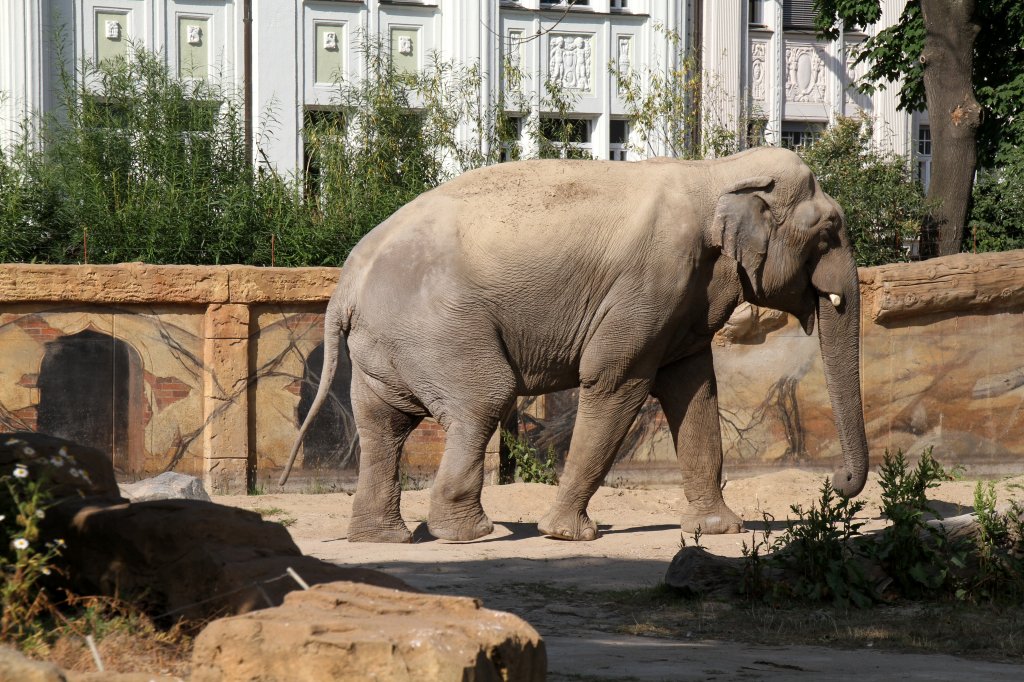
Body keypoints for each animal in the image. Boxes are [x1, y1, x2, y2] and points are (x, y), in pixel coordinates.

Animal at [282, 147, 872, 540]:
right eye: (829, 231)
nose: (837, 481)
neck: (715, 170)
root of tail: (348, 278)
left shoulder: (683, 298)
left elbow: (694, 390)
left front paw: (718, 530)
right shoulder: (652, 280)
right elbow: (614, 380)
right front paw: (569, 534)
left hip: (386, 344)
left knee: (384, 423)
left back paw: (384, 537)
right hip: (437, 328)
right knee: (483, 401)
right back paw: (474, 534)